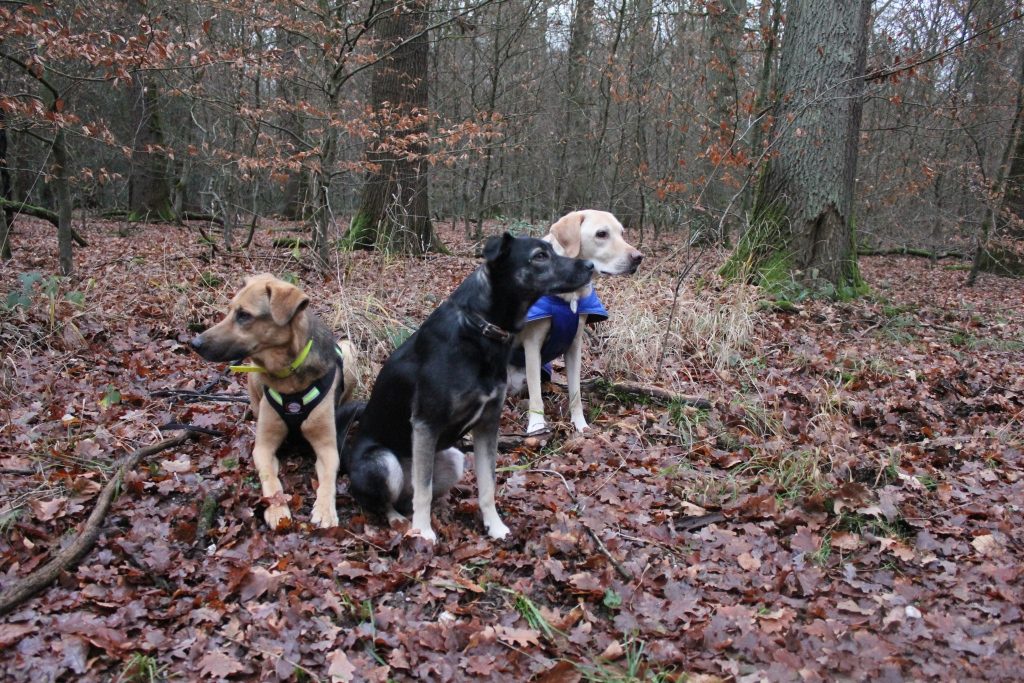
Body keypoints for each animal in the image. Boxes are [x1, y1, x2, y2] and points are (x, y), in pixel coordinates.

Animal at [192, 274, 356, 532]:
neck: (289, 378)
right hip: (253, 375)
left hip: (349, 349)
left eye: (244, 315)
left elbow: (329, 477)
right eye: (230, 310)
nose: (194, 342)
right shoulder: (263, 446)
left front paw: (325, 510)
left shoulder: (327, 447)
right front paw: (278, 508)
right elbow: (270, 478)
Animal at [342, 232, 593, 540]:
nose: (590, 266)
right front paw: (424, 533)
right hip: (384, 463)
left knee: (410, 495)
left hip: (453, 458)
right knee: (387, 501)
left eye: (553, 251)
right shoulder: (426, 424)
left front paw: (494, 526)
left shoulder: (487, 423)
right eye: (539, 256)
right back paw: (403, 522)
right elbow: (423, 491)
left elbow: (487, 486)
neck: (481, 328)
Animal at [509, 209, 643, 432]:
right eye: (601, 234)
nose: (639, 258)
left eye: (622, 233)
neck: (569, 295)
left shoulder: (574, 345)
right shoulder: (532, 346)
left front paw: (580, 425)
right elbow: (536, 396)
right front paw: (536, 427)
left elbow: (575, 393)